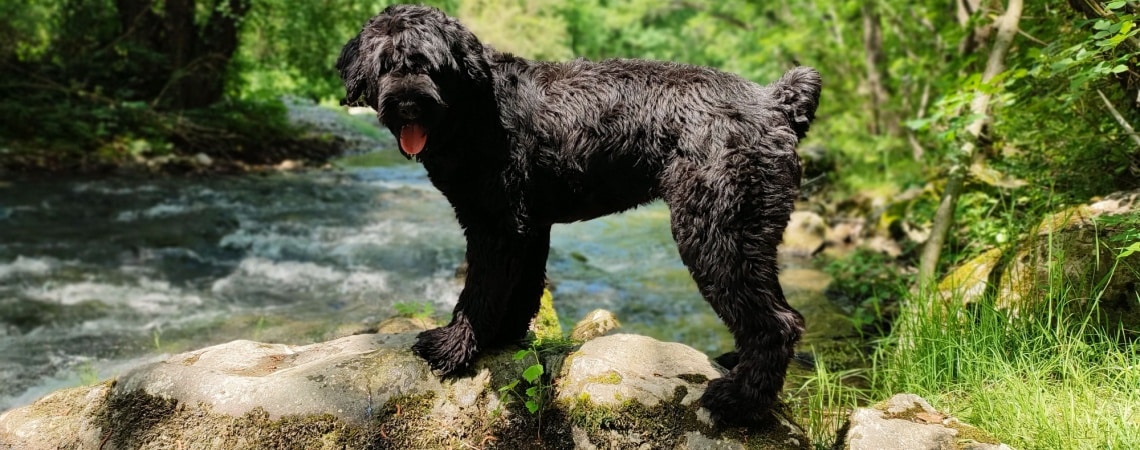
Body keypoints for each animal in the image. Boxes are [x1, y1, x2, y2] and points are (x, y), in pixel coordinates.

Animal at [335, 5, 820, 423]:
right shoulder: (526, 227)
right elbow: (520, 290)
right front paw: (503, 338)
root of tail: (774, 102)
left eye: (429, 64)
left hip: (716, 231)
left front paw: (454, 347)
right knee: (779, 313)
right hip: (748, 234)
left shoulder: (497, 226)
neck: (474, 107)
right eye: (385, 64)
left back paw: (740, 401)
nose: (408, 104)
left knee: (777, 323)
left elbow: (479, 292)